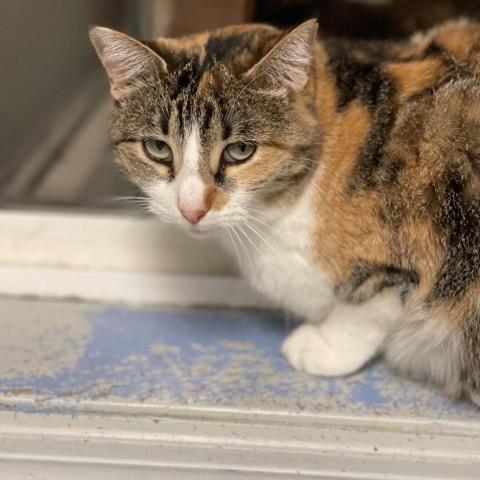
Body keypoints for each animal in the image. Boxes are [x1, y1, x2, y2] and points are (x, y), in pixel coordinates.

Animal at [90, 16, 480, 404]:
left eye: (241, 150)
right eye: (157, 148)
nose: (192, 208)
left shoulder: (401, 256)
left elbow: (369, 308)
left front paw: (323, 348)